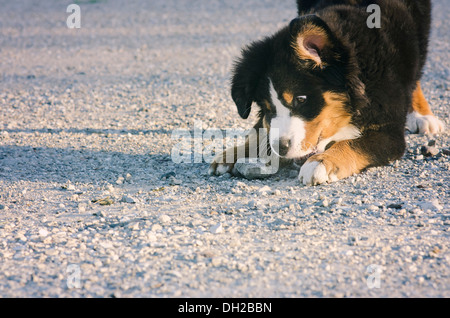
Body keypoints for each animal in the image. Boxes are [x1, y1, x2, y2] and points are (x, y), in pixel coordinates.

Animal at [209, 0, 444, 185]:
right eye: (267, 108)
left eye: (301, 99)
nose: (281, 148)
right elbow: (262, 129)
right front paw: (235, 152)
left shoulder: (389, 129)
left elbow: (354, 143)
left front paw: (321, 163)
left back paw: (422, 115)